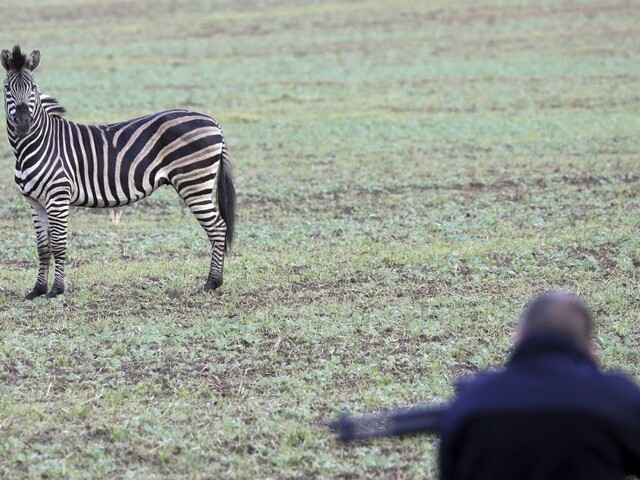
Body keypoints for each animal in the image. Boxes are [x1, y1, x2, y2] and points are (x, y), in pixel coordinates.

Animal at [2, 45, 236, 299]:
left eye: (33, 88)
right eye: (7, 88)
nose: (24, 123)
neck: (35, 144)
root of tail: (212, 120)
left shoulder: (58, 196)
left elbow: (58, 245)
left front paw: (56, 290)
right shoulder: (35, 202)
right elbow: (43, 248)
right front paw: (37, 289)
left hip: (194, 182)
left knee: (218, 228)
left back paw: (212, 282)